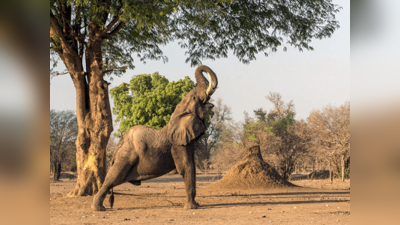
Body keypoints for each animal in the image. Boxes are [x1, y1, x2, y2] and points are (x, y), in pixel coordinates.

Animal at [91, 64, 219, 211]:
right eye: (194, 98)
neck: (177, 114)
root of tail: (118, 146)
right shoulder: (177, 144)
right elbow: (186, 167)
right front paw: (191, 208)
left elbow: (191, 165)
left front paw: (196, 205)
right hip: (125, 157)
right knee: (113, 177)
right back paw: (98, 208)